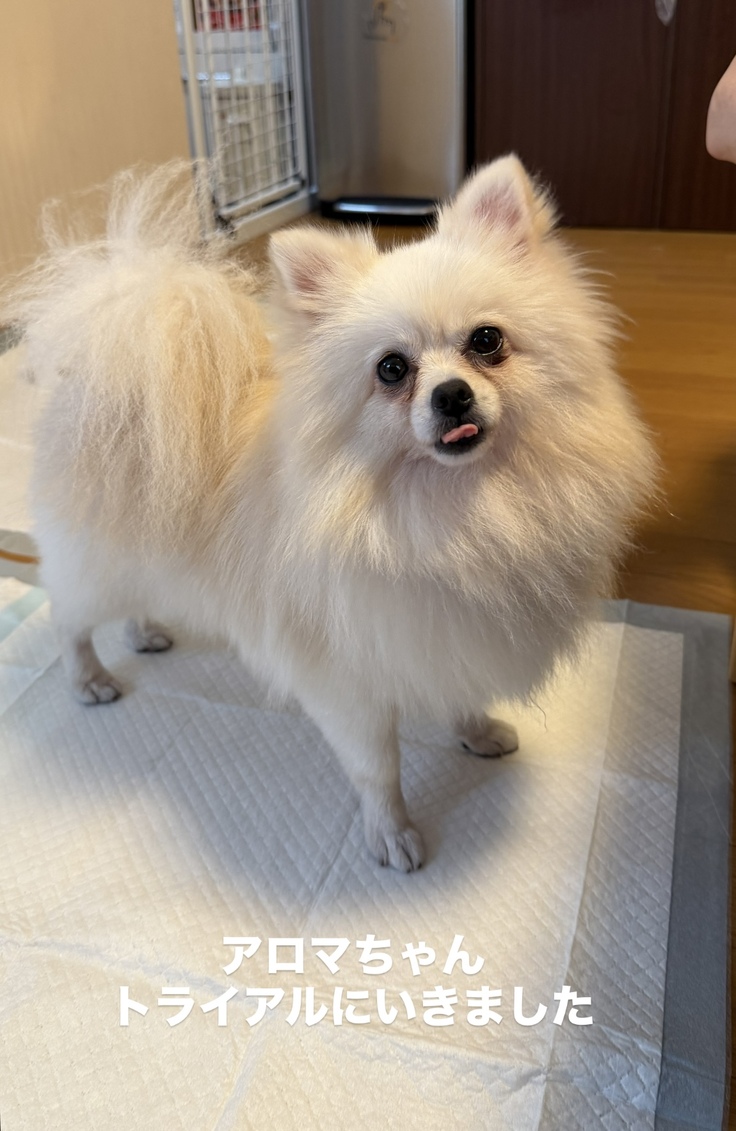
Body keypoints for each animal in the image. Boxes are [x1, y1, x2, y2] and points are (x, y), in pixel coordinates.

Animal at [5, 156, 656, 871]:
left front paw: (476, 730)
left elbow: (460, 689)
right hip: (97, 562)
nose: (452, 395)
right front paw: (392, 834)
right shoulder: (348, 680)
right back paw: (89, 679)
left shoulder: (452, 633)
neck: (459, 508)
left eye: (487, 341)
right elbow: (379, 768)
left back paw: (145, 630)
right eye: (392, 369)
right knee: (69, 617)